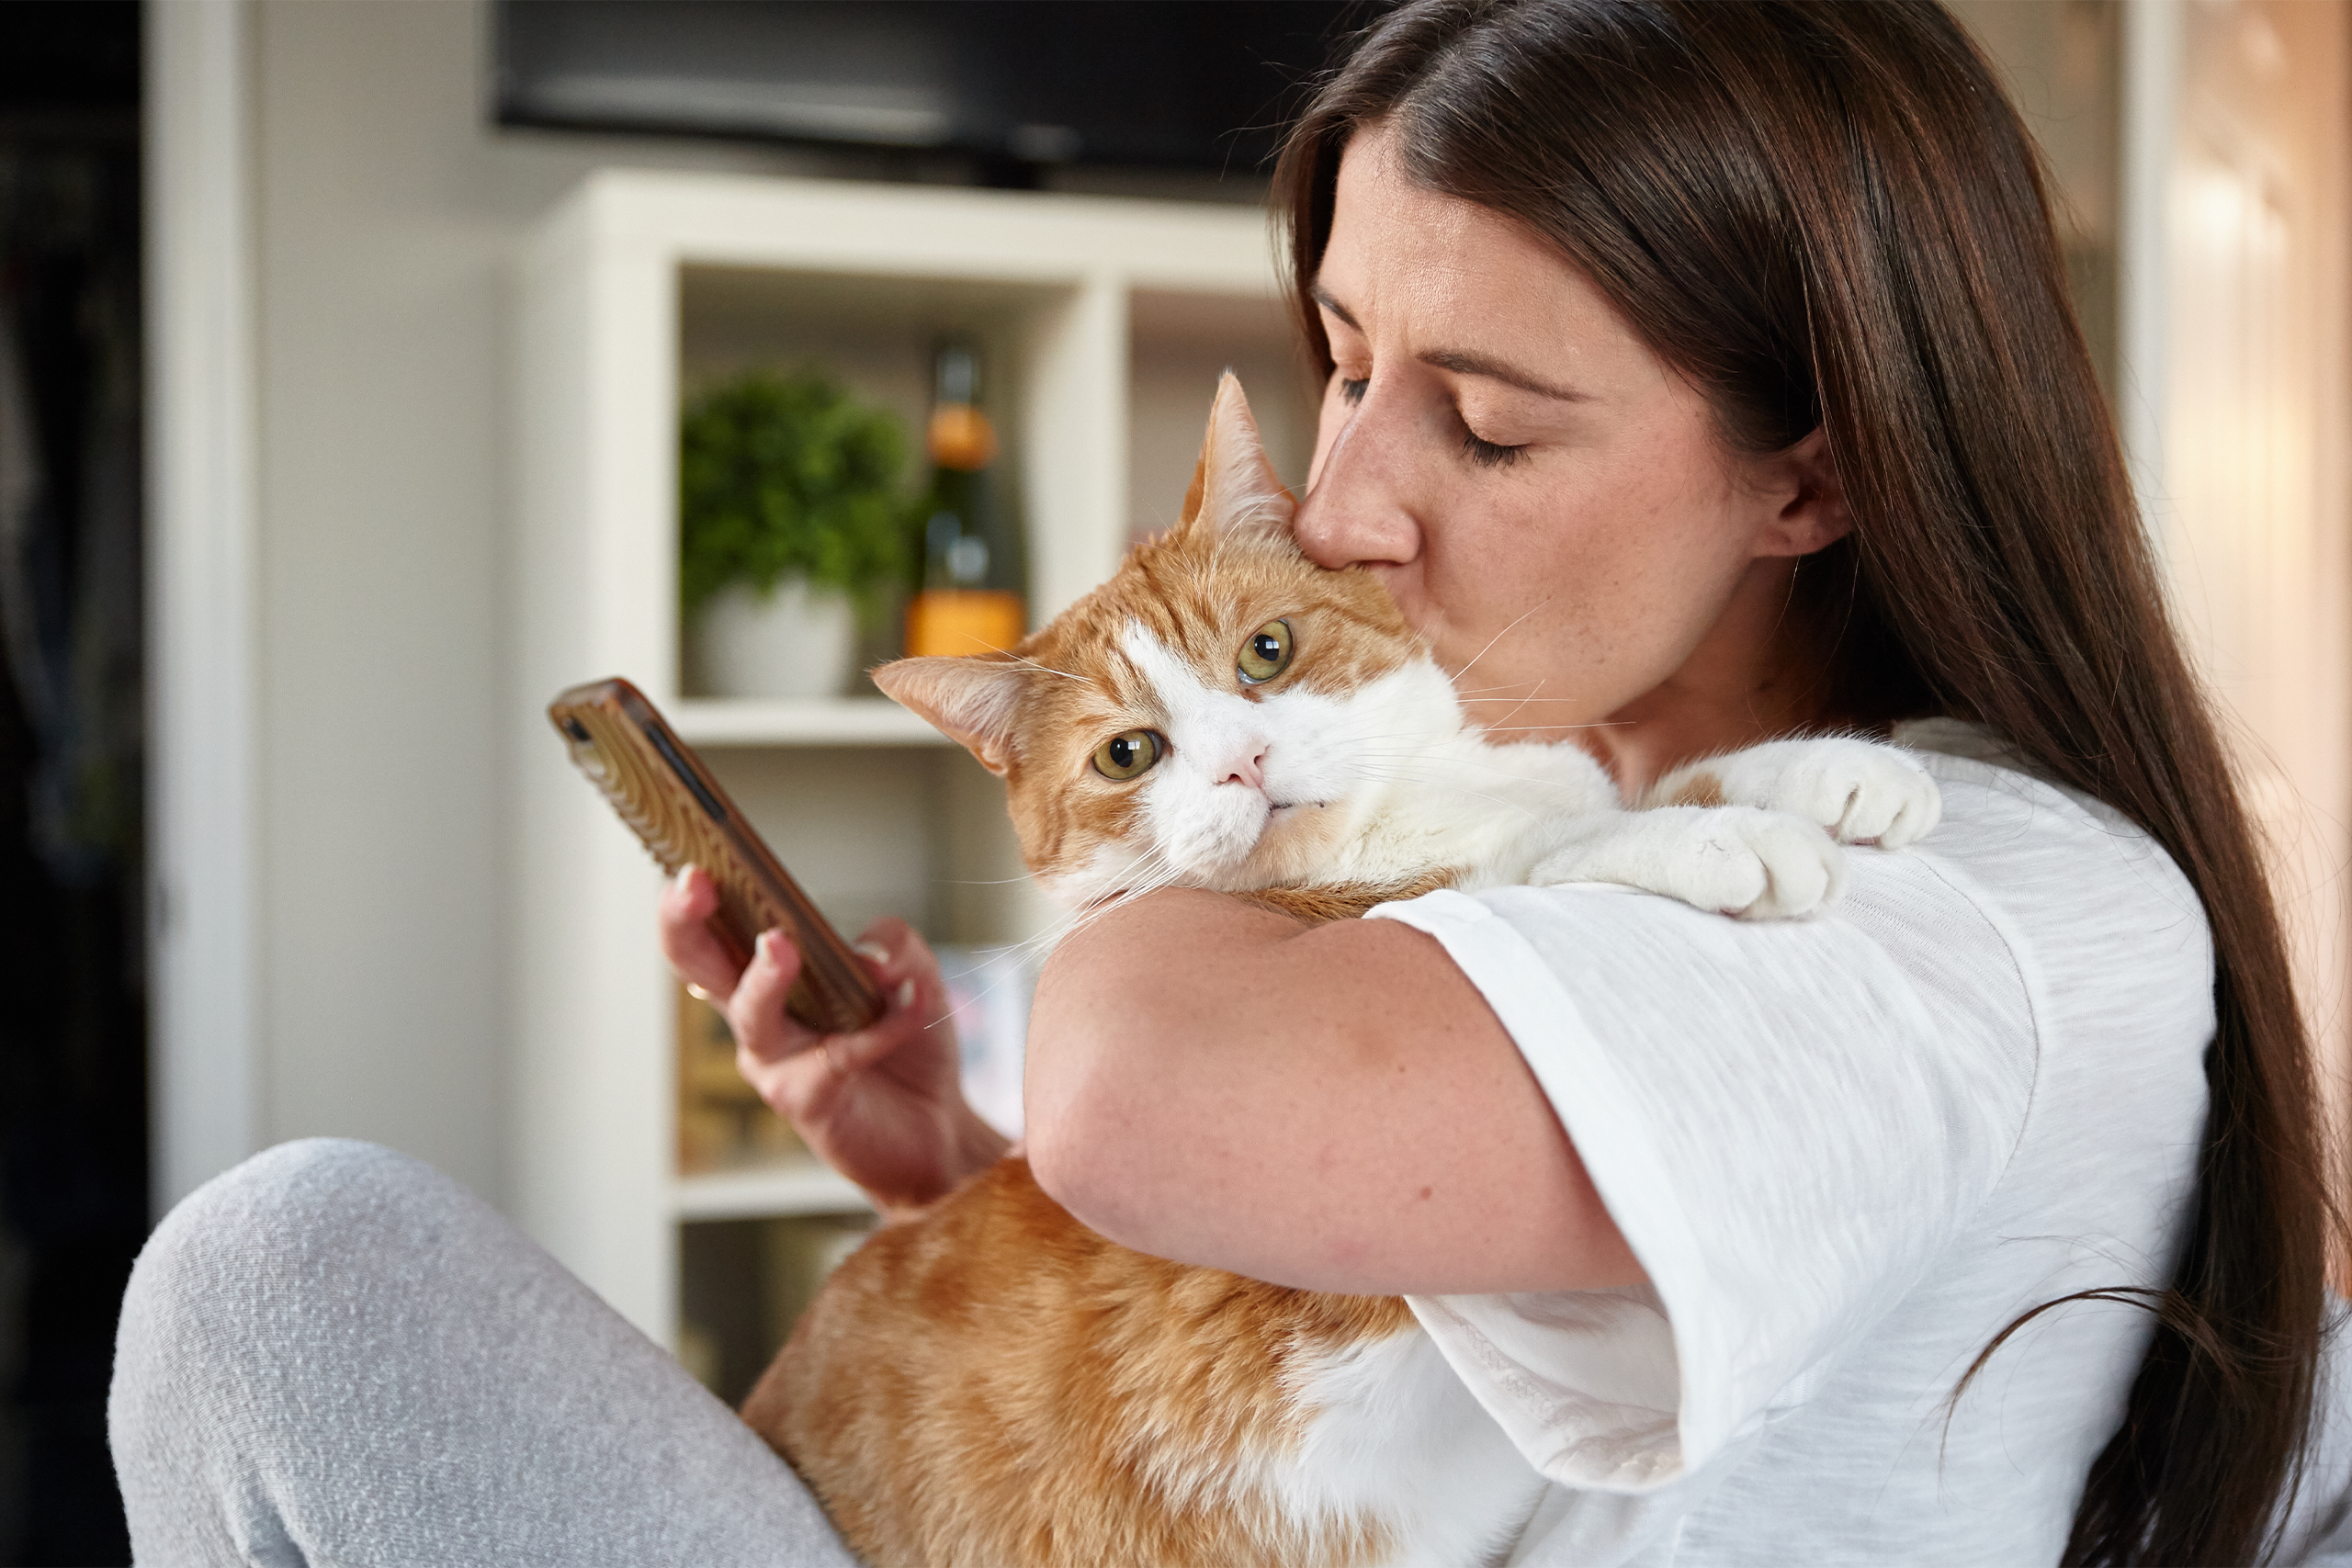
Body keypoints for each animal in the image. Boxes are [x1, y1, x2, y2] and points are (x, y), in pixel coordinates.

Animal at [742, 373, 1938, 1561]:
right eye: (1128, 754)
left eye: (1265, 652)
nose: (1244, 760)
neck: (1391, 832)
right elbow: (1543, 852)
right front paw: (1718, 835)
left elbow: (1627, 787)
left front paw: (1822, 770)